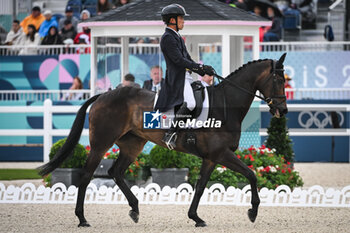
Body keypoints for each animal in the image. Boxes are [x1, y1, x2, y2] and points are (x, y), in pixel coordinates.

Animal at [39, 52, 288, 228]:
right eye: (278, 80)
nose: (283, 110)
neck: (225, 104)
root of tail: (104, 94)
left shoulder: (211, 158)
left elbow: (200, 186)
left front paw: (195, 217)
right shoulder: (221, 154)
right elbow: (251, 174)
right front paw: (253, 212)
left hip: (132, 145)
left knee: (116, 172)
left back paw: (135, 209)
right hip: (101, 144)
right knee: (86, 176)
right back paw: (82, 219)